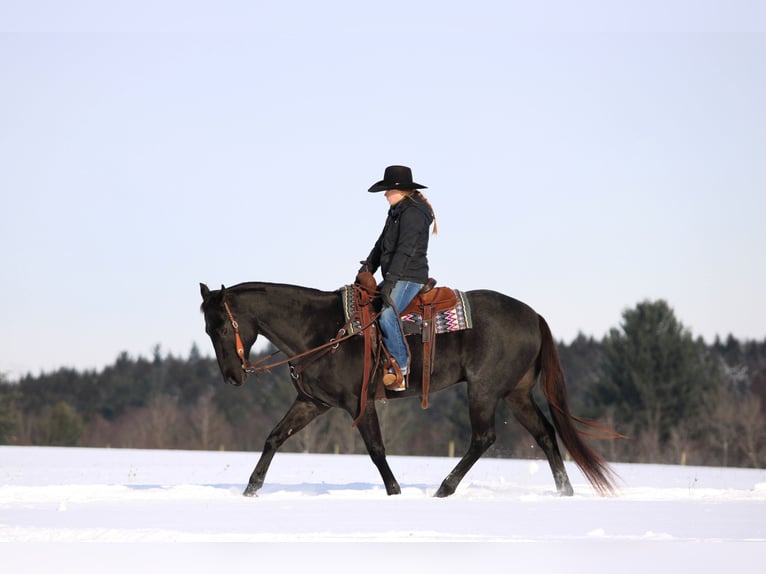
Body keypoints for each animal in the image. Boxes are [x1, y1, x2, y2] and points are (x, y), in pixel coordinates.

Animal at [199, 281, 619, 497]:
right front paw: (250, 490)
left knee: (483, 438)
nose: (232, 377)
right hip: (516, 394)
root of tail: (534, 316)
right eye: (207, 328)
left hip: (484, 391)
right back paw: (565, 492)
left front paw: (395, 492)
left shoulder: (358, 403)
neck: (323, 330)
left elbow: (376, 449)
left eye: (219, 327)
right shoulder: (312, 402)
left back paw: (445, 488)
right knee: (546, 434)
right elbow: (274, 437)